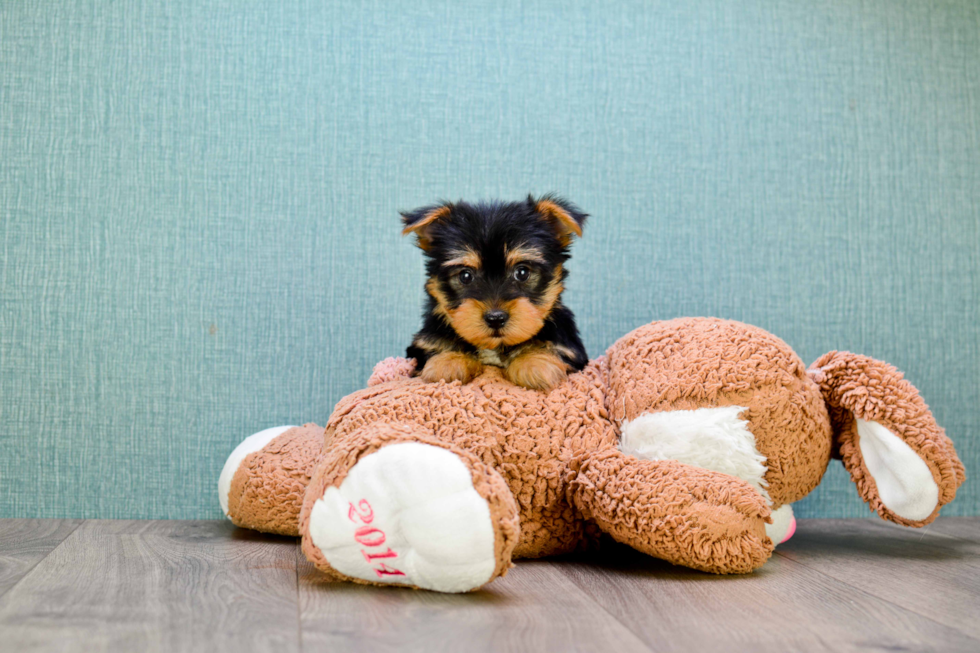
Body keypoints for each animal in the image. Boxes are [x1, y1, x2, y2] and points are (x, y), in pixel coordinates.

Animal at [400, 195, 584, 392]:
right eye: (465, 276)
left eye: (522, 272)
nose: (495, 318)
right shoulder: (422, 344)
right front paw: (448, 360)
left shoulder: (570, 347)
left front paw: (534, 362)